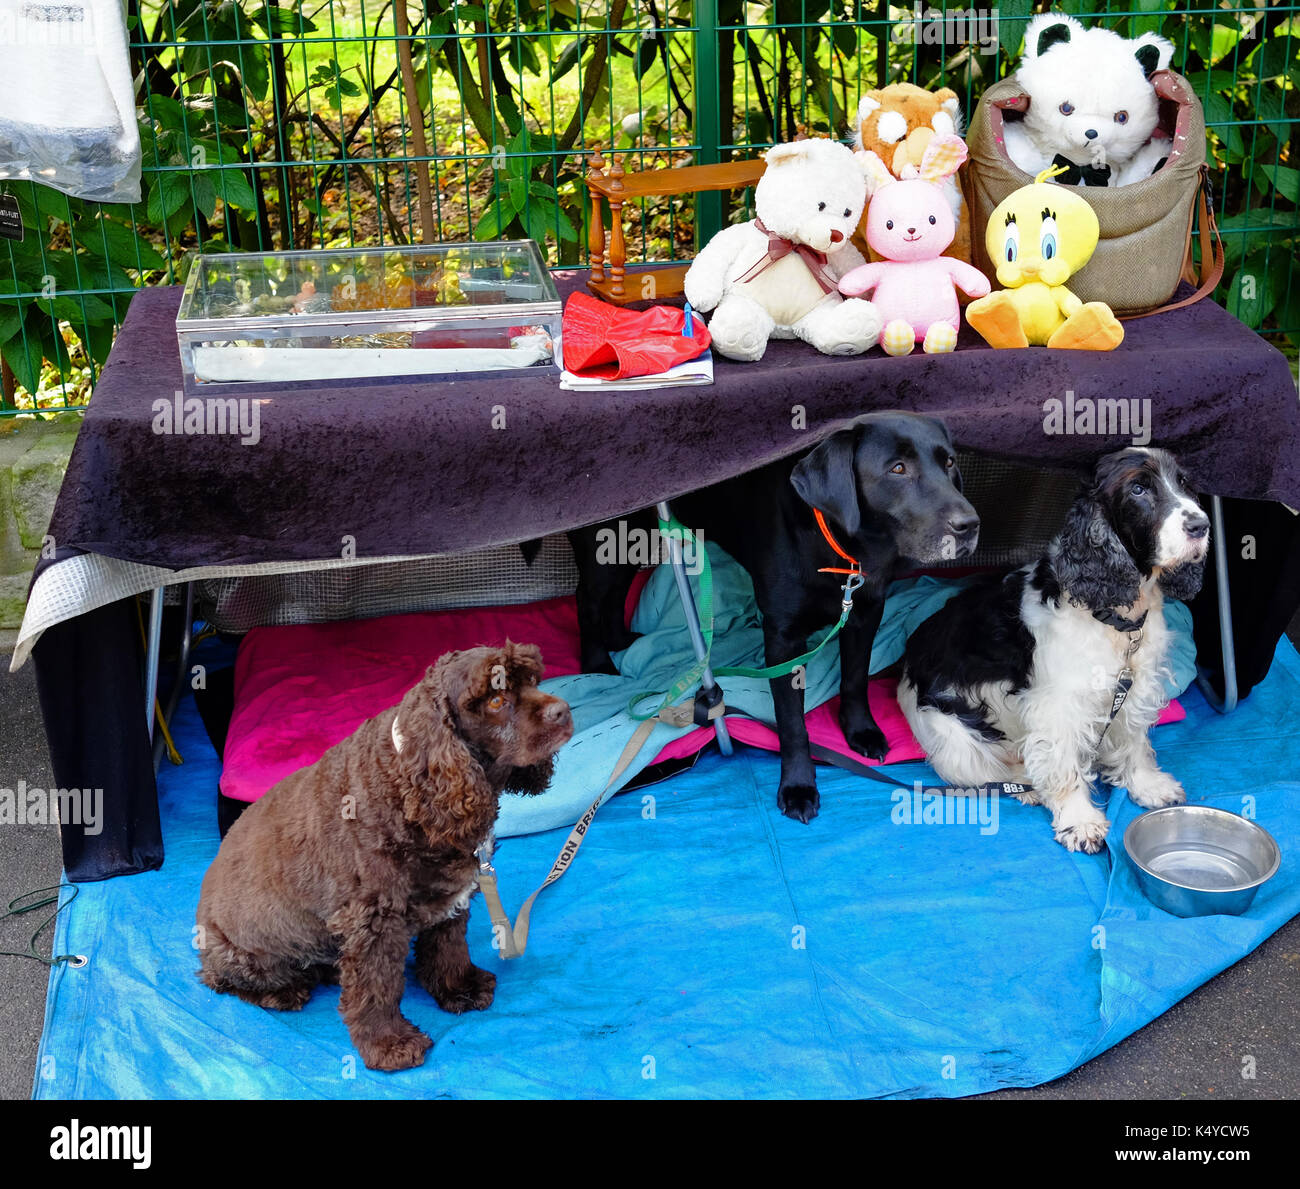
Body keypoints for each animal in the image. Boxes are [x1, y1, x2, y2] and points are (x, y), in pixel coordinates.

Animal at [195, 647, 572, 1075]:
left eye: (533, 681)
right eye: (495, 700)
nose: (563, 711)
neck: (413, 783)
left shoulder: (452, 897)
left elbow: (449, 947)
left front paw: (458, 987)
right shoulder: (372, 920)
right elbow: (376, 988)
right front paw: (388, 1043)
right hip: (242, 955)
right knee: (220, 980)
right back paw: (287, 990)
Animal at [574, 408, 977, 816]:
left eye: (949, 462)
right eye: (897, 468)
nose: (970, 525)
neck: (839, 547)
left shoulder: (865, 614)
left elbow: (855, 680)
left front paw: (860, 731)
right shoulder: (784, 641)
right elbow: (792, 722)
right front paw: (798, 786)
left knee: (616, 592)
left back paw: (619, 640)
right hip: (607, 540)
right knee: (588, 599)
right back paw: (597, 662)